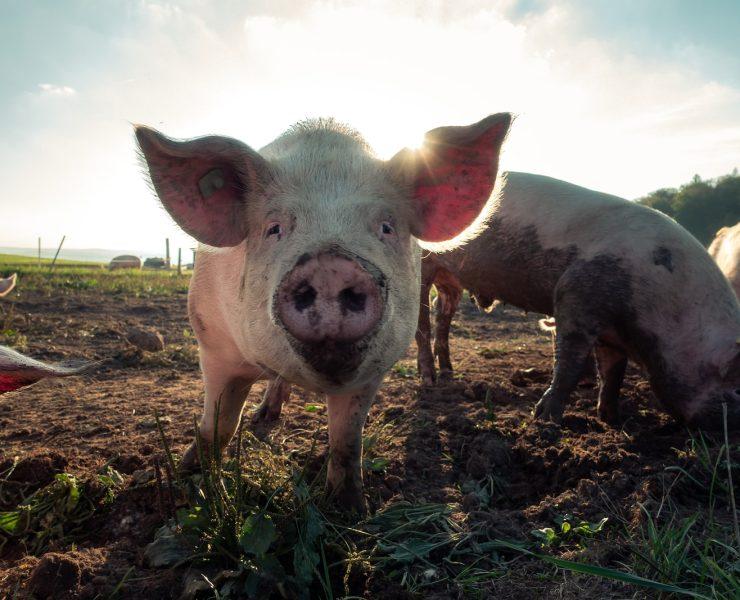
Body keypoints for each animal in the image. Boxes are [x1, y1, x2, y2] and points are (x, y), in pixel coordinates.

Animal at [135, 113, 512, 510]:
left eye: (386, 226)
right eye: (274, 228)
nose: (331, 265)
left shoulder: (375, 369)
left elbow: (347, 440)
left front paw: (349, 509)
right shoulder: (213, 343)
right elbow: (218, 424)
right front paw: (191, 481)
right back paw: (262, 418)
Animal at [414, 172, 740, 428]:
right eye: (736, 391)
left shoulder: (611, 332)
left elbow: (613, 372)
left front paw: (612, 419)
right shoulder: (574, 295)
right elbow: (569, 363)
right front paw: (544, 419)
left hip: (451, 280)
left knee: (442, 315)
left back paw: (448, 372)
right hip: (423, 266)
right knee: (422, 322)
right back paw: (429, 380)